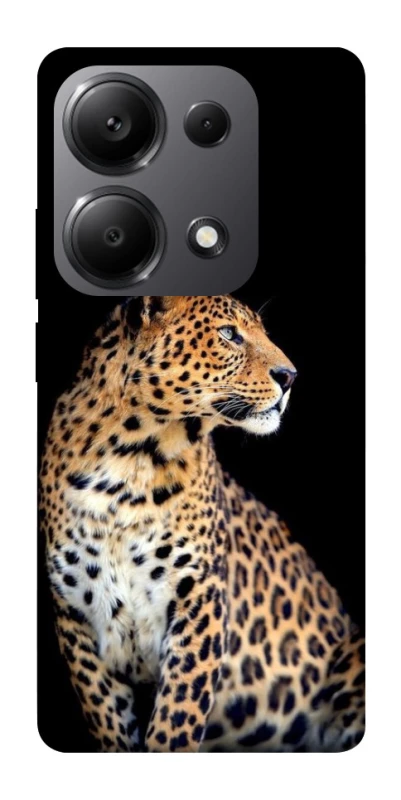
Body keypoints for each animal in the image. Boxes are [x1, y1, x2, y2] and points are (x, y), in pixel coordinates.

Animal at [39, 294, 365, 752]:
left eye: (262, 331)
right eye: (229, 333)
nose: (290, 376)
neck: (128, 461)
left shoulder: (200, 598)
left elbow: (176, 719)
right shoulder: (75, 617)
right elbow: (110, 720)